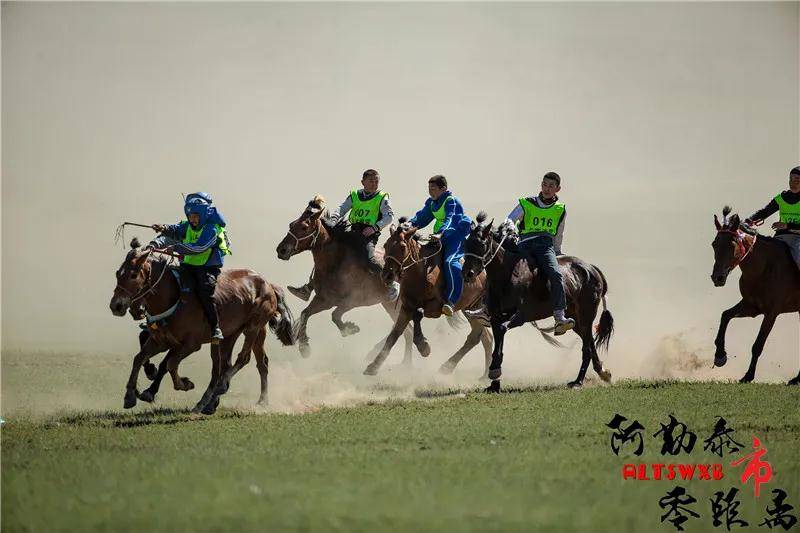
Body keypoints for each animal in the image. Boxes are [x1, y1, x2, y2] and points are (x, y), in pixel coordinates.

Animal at [108, 238, 292, 416]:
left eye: (133, 275)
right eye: (118, 273)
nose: (116, 306)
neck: (175, 297)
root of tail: (268, 285)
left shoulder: (191, 345)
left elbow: (170, 364)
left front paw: (185, 384)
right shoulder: (161, 341)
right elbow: (139, 358)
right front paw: (130, 396)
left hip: (253, 327)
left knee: (242, 359)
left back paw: (221, 392)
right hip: (233, 334)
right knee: (247, 364)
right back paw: (218, 402)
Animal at [276, 195, 418, 366]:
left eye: (304, 227)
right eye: (292, 224)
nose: (281, 250)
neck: (336, 264)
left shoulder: (352, 301)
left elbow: (335, 315)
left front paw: (350, 329)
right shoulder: (324, 299)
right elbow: (305, 314)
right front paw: (304, 348)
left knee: (407, 331)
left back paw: (405, 364)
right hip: (389, 305)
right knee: (407, 331)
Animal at [364, 219, 494, 374]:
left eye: (402, 247)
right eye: (386, 245)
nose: (386, 275)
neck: (419, 273)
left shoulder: (436, 307)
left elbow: (418, 314)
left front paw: (423, 346)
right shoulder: (406, 307)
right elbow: (395, 334)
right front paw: (374, 366)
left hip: (475, 307)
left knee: (477, 337)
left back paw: (449, 366)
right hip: (470, 310)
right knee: (484, 338)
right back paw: (481, 373)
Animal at [456, 212, 612, 390]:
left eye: (482, 244)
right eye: (466, 243)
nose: (467, 273)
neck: (507, 274)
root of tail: (591, 268)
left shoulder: (520, 316)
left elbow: (502, 331)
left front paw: (494, 371)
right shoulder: (495, 316)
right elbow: (498, 340)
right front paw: (494, 383)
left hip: (587, 314)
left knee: (586, 347)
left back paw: (578, 381)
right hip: (575, 319)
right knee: (590, 341)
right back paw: (603, 372)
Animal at [712, 206, 800, 384]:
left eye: (732, 244)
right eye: (714, 244)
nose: (717, 277)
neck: (763, 268)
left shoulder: (772, 313)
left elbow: (758, 345)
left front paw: (748, 375)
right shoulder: (751, 306)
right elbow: (725, 315)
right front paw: (720, 356)